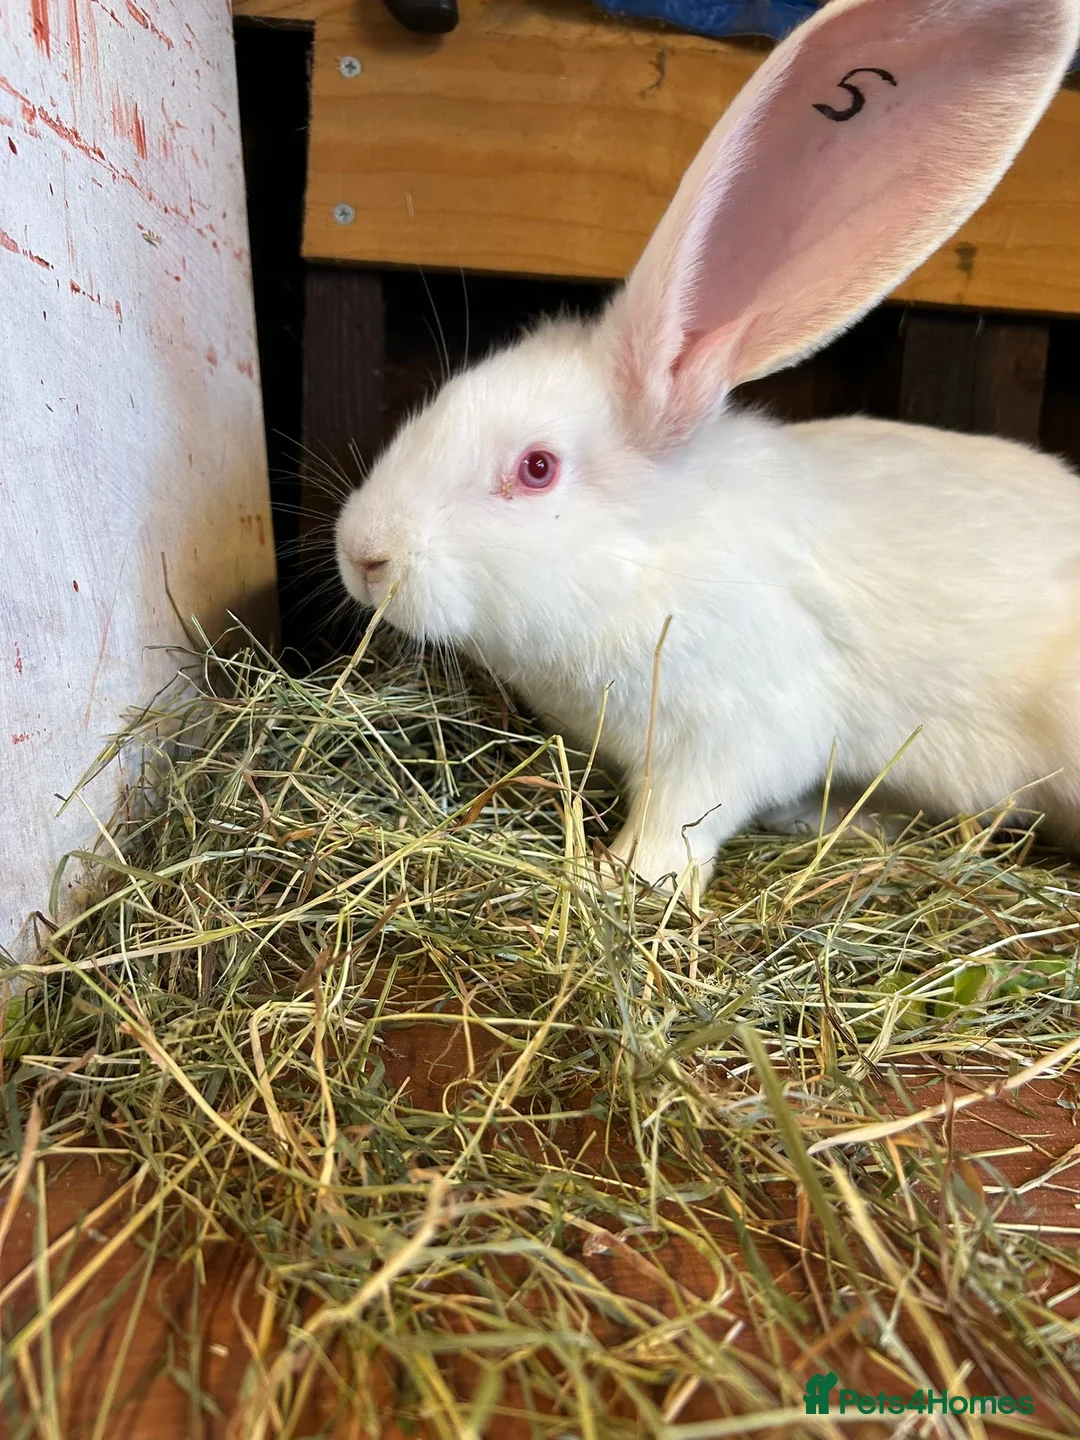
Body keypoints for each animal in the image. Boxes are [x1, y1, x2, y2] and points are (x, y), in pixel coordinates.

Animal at [336, 0, 1080, 890]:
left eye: (537, 468)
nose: (361, 554)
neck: (656, 556)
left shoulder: (729, 733)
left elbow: (681, 823)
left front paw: (616, 878)